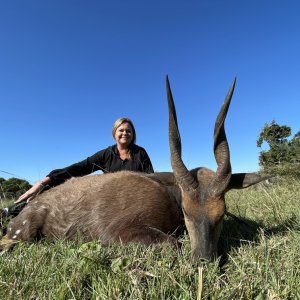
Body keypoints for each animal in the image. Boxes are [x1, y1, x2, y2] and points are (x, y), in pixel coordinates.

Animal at [0, 77, 268, 260]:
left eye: (222, 213)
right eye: (186, 211)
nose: (203, 260)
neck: (169, 195)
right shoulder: (112, 234)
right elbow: (175, 243)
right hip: (21, 234)